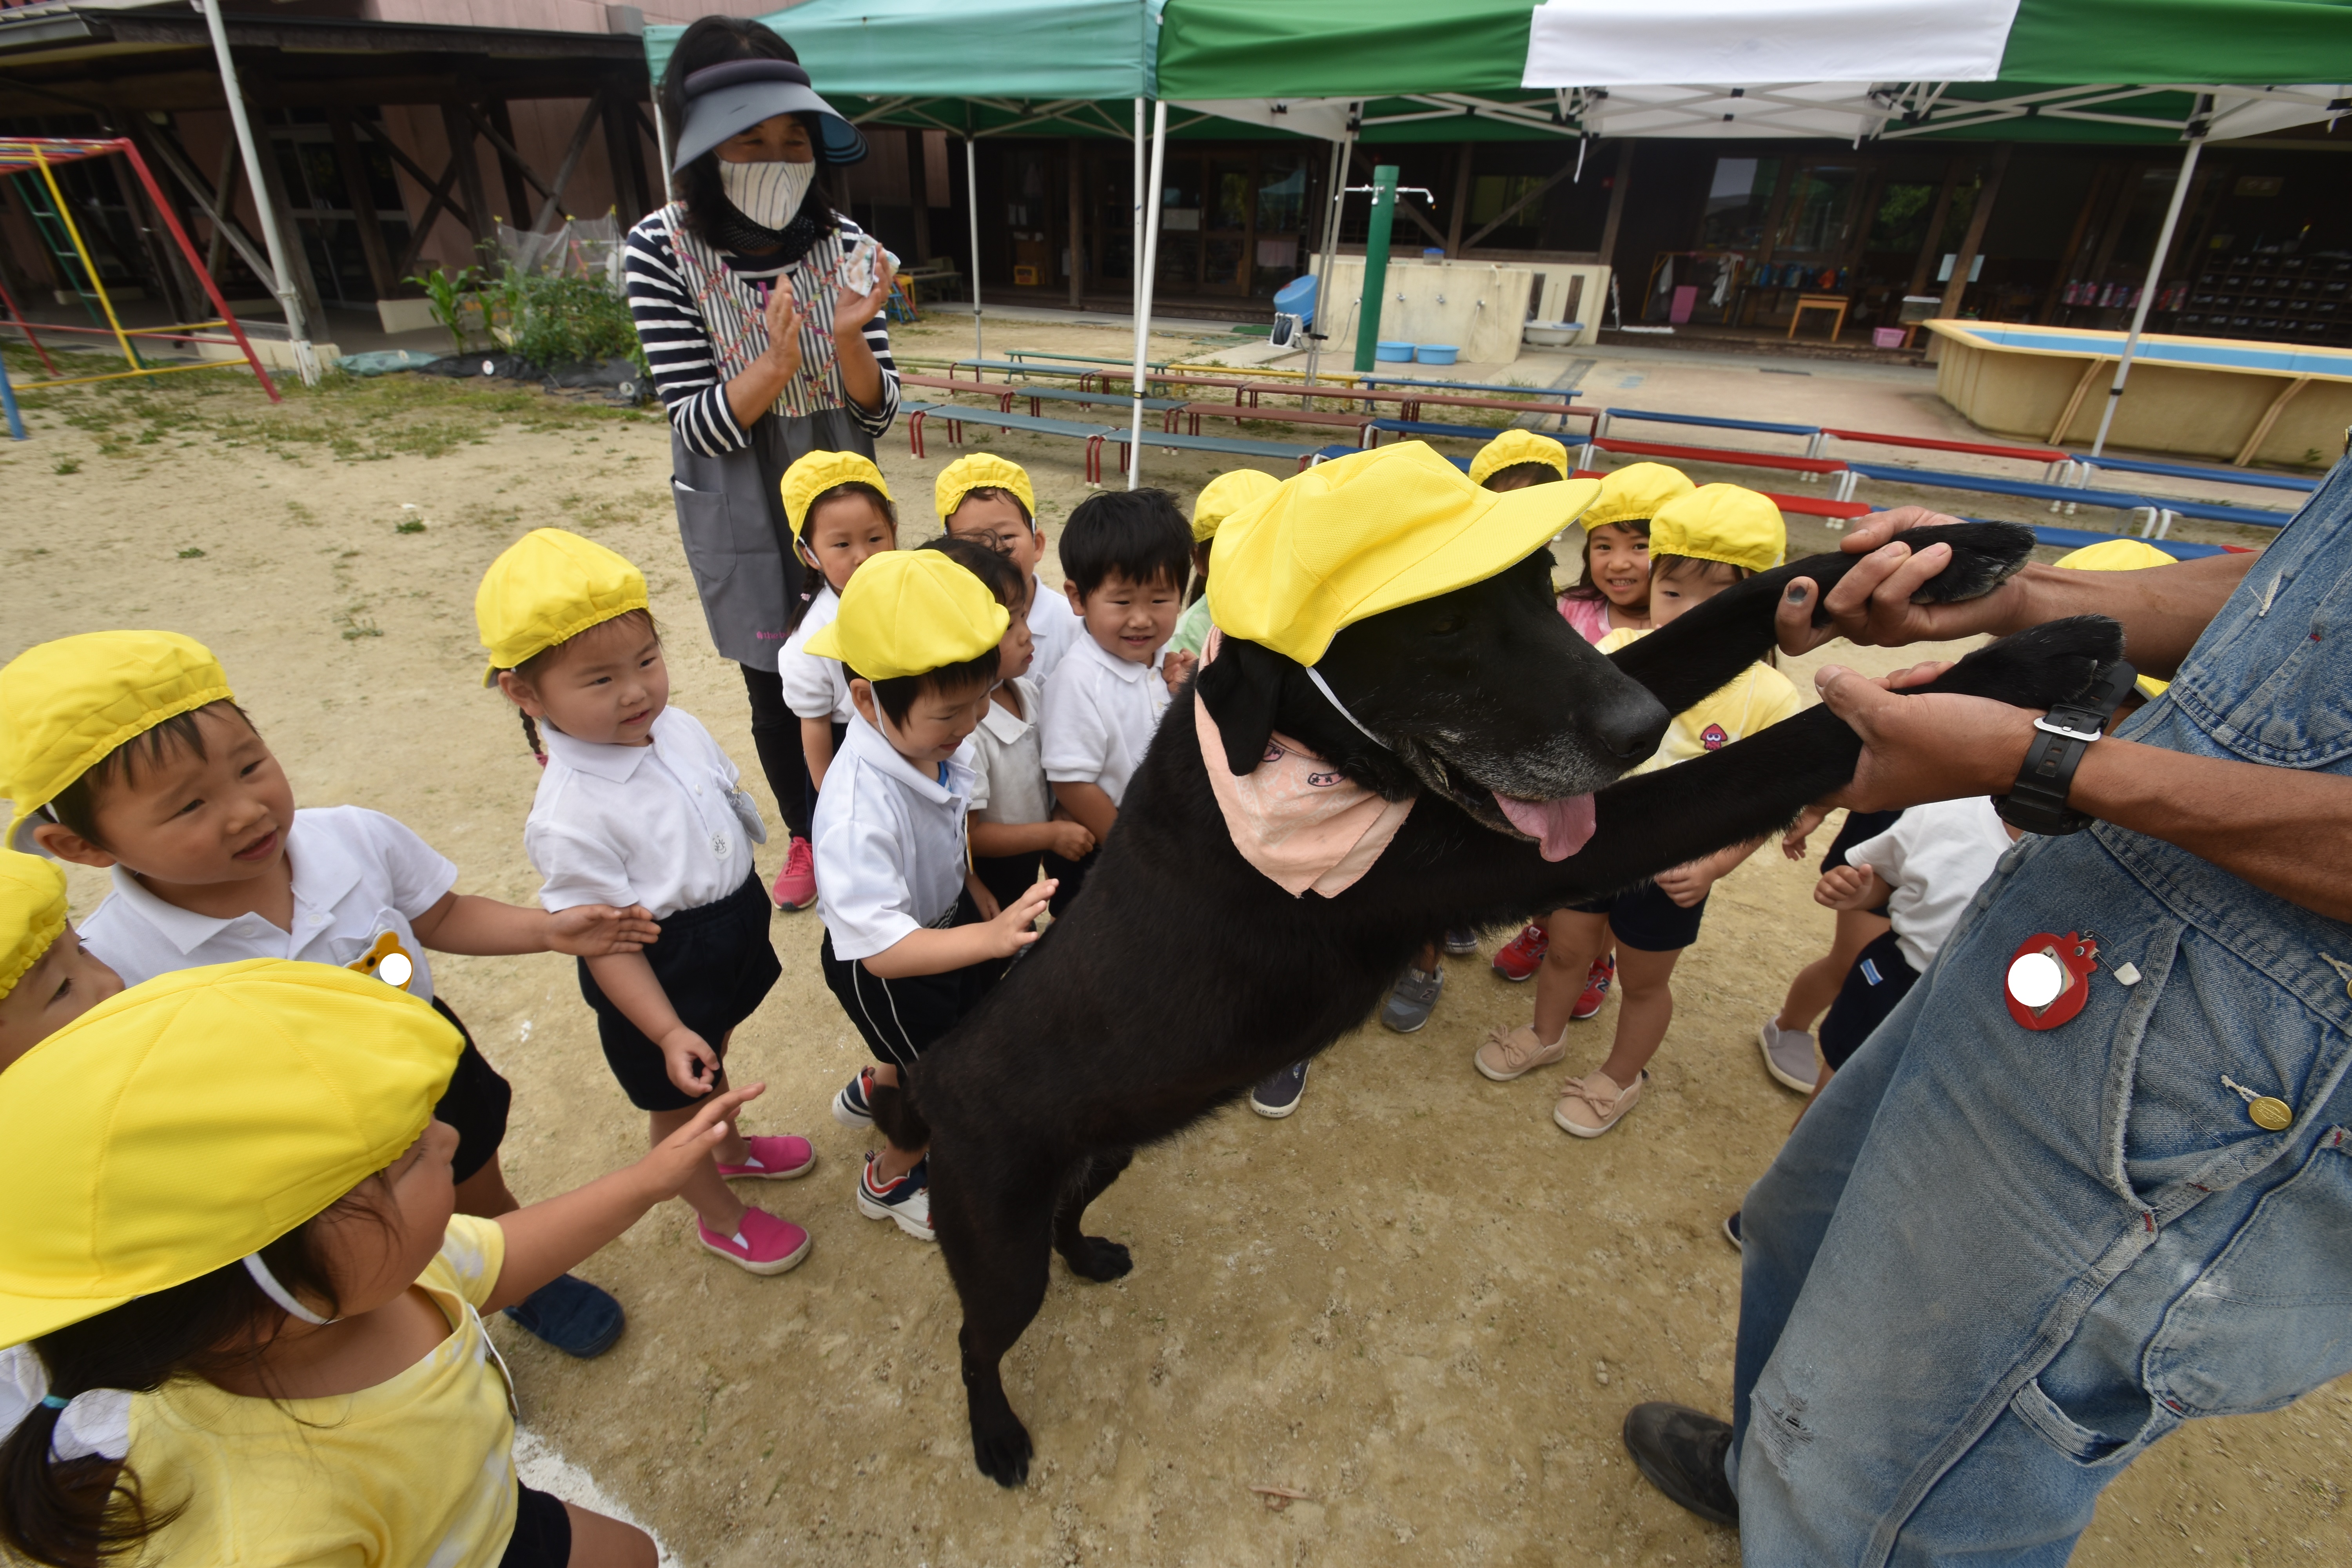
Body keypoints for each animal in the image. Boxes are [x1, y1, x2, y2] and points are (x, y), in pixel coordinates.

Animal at [894, 524, 2117, 1486]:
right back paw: (995, 1435)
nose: (1636, 726)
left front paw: (1946, 555)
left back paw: (1091, 1256)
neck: (1303, 751)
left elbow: (1741, 608)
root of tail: (931, 1077)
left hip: (1105, 1147)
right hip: (994, 1239)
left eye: (1542, 582)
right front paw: (2026, 661)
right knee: (971, 1339)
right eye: (1436, 624)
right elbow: (1801, 740)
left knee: (1070, 1214)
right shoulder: (1526, 845)